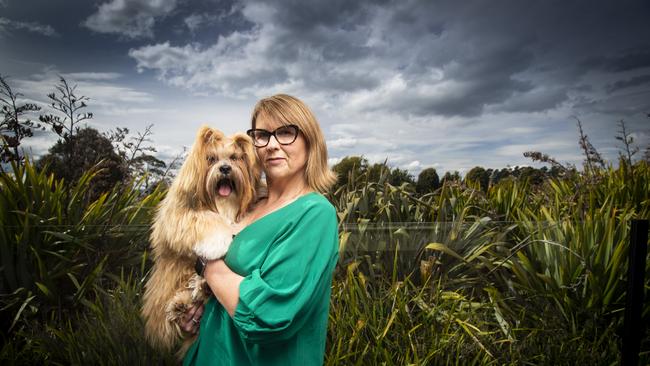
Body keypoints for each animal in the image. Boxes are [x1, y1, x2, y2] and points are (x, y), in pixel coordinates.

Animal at [142, 126, 260, 358]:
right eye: (211, 158)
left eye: (234, 157)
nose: (225, 168)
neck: (224, 204)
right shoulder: (176, 216)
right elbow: (204, 218)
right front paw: (219, 241)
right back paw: (181, 304)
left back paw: (201, 288)